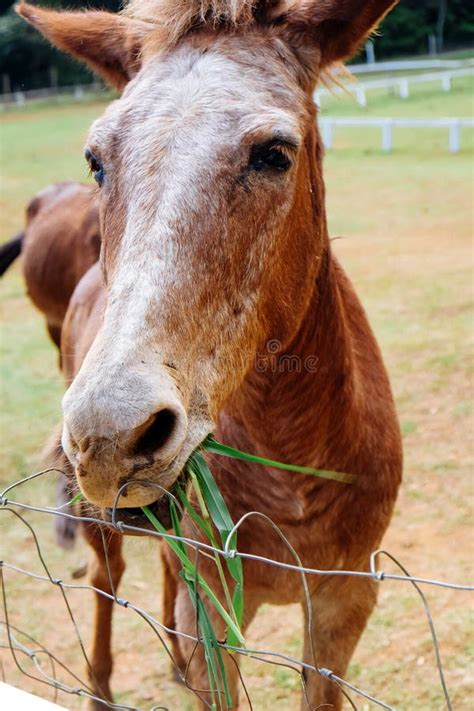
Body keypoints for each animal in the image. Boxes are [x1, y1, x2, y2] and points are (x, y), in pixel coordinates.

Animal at [18, 1, 402, 709]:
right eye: (96, 161)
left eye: (274, 153)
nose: (110, 436)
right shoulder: (215, 623)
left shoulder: (345, 601)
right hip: (102, 522)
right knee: (105, 584)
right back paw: (99, 688)